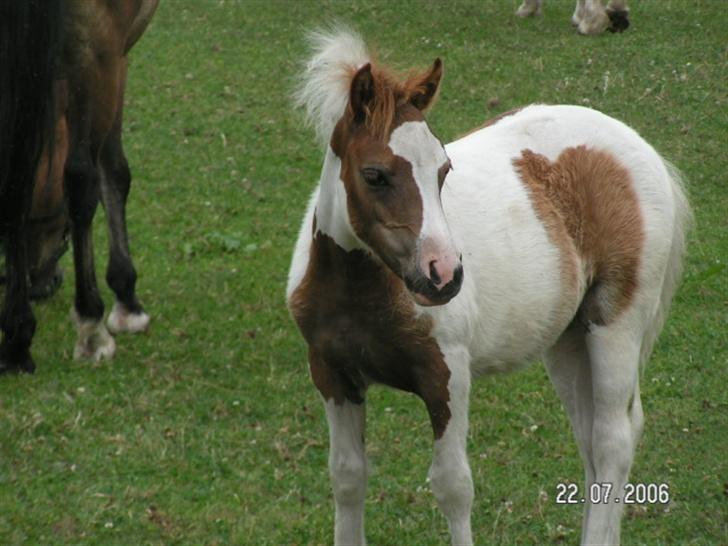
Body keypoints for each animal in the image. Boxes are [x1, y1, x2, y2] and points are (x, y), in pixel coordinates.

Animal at [0, 0, 159, 372]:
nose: (42, 283)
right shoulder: (114, 55)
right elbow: (112, 172)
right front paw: (125, 300)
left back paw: (16, 343)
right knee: (81, 181)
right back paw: (91, 327)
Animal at [288, 30, 692, 544]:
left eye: (443, 170)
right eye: (374, 175)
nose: (444, 275)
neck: (357, 291)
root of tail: (640, 147)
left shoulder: (447, 374)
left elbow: (453, 487)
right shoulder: (332, 374)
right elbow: (346, 478)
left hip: (616, 324)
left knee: (611, 439)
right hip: (567, 339)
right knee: (590, 439)